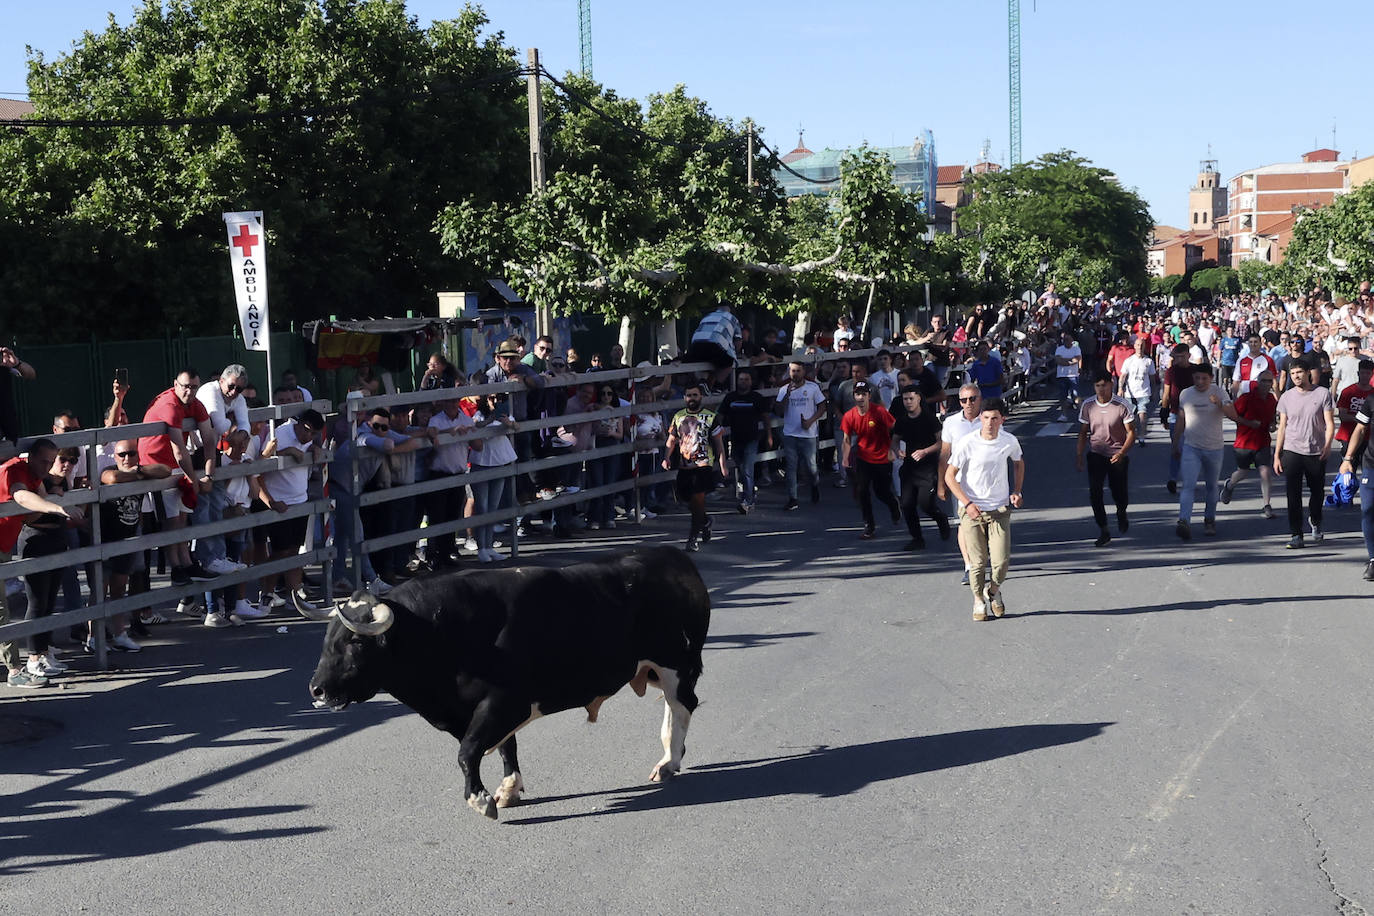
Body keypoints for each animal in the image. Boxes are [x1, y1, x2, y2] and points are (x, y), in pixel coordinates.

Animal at [307, 549, 714, 818]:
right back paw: (669, 757)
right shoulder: (486, 710)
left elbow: (468, 751)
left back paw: (669, 762)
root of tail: (673, 557)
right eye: (326, 638)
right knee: (673, 707)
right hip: (653, 670)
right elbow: (505, 747)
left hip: (678, 665)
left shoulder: (503, 702)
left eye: (354, 642)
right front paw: (507, 789)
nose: (317, 690)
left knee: (682, 706)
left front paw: (481, 798)